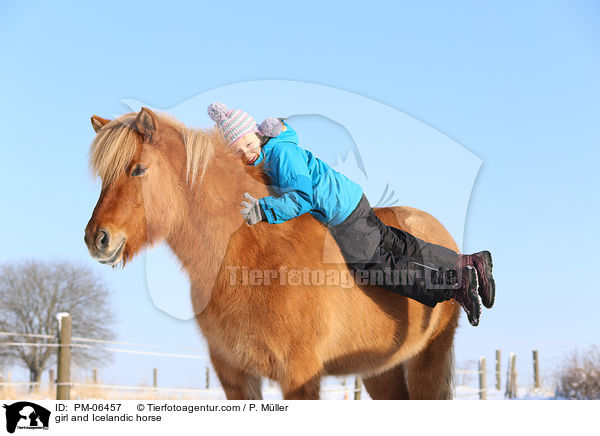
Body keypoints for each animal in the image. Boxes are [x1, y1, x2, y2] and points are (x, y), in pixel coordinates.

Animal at [83, 106, 460, 398]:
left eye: (139, 169)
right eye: (103, 176)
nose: (96, 239)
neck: (252, 253)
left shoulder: (299, 374)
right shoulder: (233, 374)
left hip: (429, 360)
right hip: (380, 370)